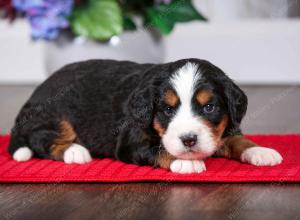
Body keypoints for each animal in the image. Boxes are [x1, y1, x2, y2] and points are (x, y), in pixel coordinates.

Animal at [8, 58, 282, 174]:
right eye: (167, 110)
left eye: (209, 108)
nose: (189, 140)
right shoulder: (131, 142)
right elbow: (160, 150)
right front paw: (185, 161)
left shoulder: (221, 131)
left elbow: (237, 138)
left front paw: (259, 151)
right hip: (55, 114)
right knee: (40, 138)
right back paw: (74, 151)